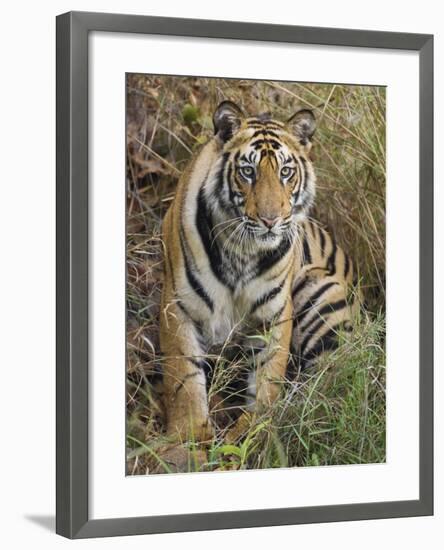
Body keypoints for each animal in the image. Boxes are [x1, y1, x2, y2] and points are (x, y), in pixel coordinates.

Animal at [160, 101, 358, 446]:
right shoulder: (177, 306)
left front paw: (254, 432)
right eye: (248, 172)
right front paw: (189, 440)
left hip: (319, 290)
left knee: (331, 383)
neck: (241, 250)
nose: (270, 220)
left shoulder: (275, 314)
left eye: (285, 172)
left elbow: (268, 379)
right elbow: (183, 377)